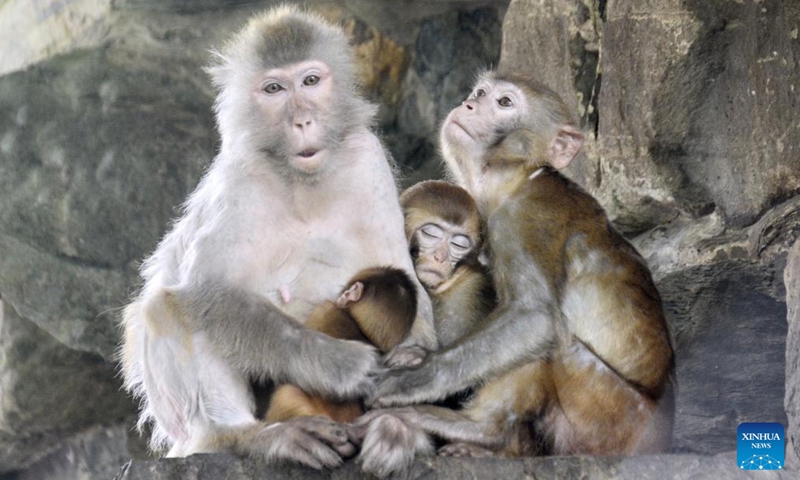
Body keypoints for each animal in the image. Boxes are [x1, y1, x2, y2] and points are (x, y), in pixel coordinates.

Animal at [354, 71, 675, 477]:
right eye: (480, 93)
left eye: (505, 103)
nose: (468, 104)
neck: (516, 179)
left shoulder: (525, 217)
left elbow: (534, 317)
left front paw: (406, 382)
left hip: (611, 423)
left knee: (549, 340)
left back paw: (478, 429)